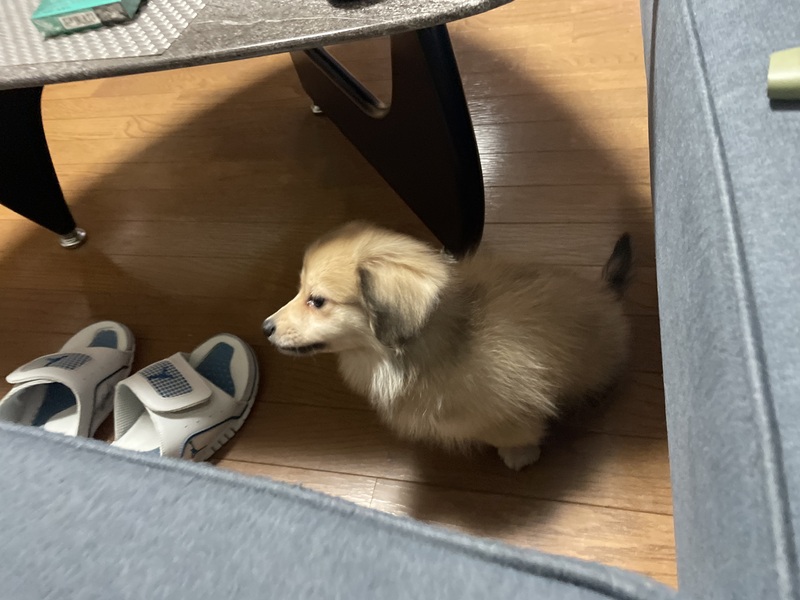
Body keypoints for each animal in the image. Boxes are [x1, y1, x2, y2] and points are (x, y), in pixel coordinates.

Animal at [263, 222, 632, 470]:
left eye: (317, 301)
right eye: (299, 290)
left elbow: (509, 430)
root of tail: (606, 295)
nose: (265, 327)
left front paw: (520, 453)